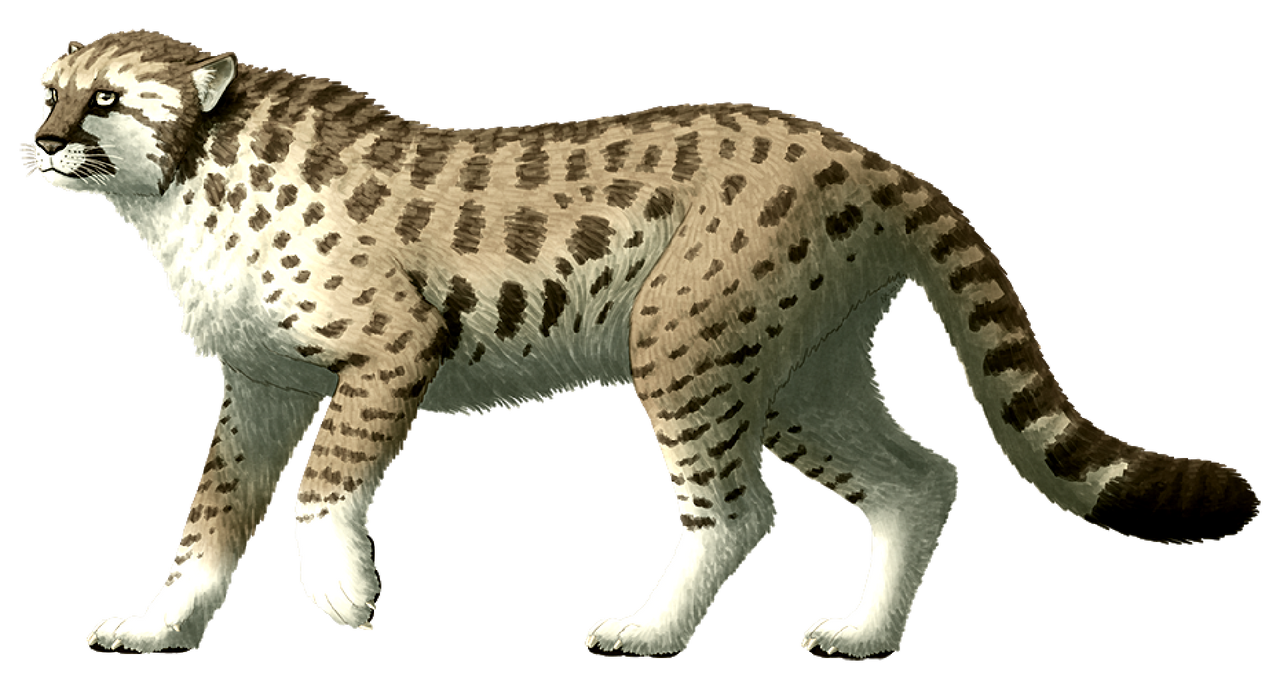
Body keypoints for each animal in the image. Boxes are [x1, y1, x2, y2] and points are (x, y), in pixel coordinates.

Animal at [21, 27, 1261, 660]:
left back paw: (650, 629)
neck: (183, 177)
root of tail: (861, 147)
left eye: (108, 101)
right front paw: (159, 622)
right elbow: (209, 516)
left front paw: (341, 591)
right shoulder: (260, 384)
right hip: (796, 374)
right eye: (46, 91)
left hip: (682, 341)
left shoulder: (389, 349)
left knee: (740, 508)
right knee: (921, 476)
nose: (37, 142)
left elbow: (323, 488)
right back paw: (865, 633)